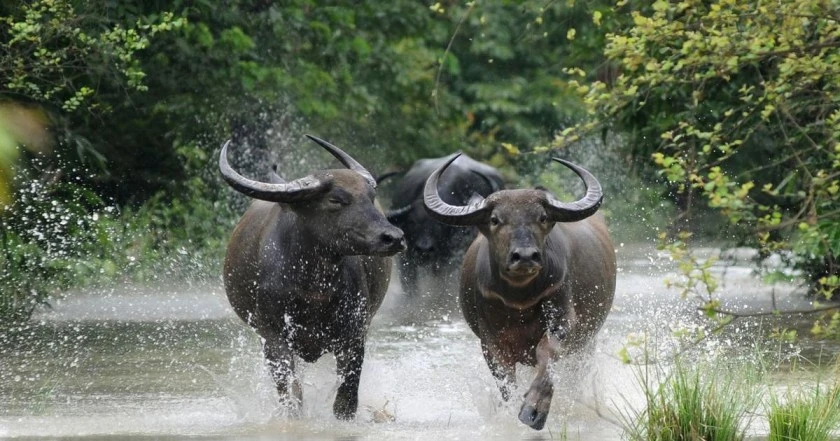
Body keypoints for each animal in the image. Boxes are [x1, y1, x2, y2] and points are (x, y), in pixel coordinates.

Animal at [220, 135, 406, 419]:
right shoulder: (272, 335)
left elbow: (346, 397)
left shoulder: (354, 332)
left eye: (371, 197)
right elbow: (291, 393)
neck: (313, 287)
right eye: (336, 200)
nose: (393, 237)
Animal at [423, 154, 616, 430]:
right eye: (495, 219)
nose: (525, 256)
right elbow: (505, 380)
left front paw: (534, 410)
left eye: (542, 217)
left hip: (587, 342)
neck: (519, 299)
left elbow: (547, 354)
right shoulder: (490, 340)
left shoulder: (563, 319)